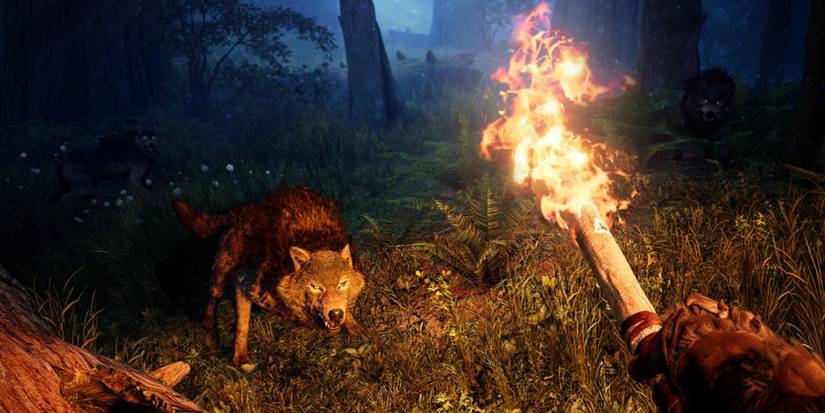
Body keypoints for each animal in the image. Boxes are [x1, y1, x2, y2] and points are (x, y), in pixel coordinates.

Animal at [173, 187, 364, 368]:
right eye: (316, 287)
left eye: (342, 284)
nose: (336, 314)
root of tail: (246, 209)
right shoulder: (244, 283)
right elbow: (242, 325)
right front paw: (241, 359)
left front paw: (354, 326)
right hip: (221, 276)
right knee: (212, 295)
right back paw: (208, 322)